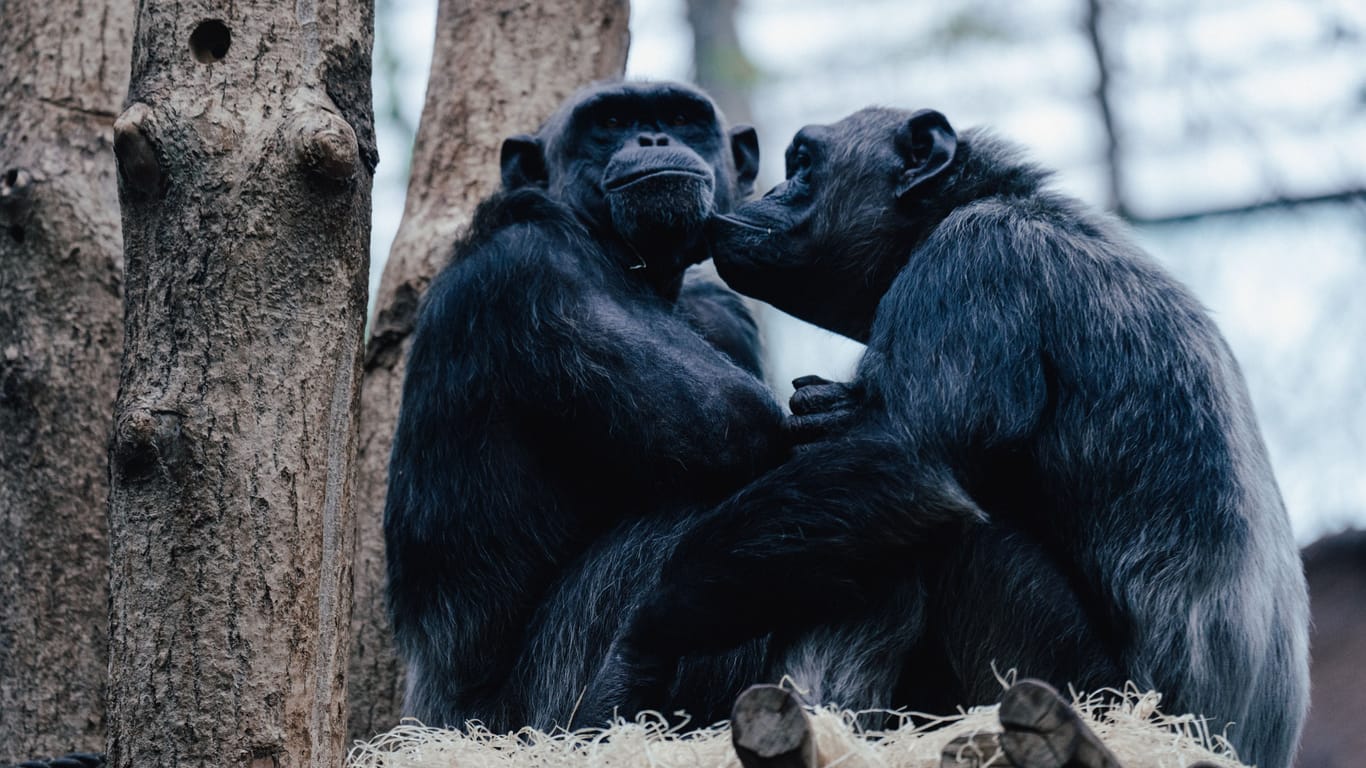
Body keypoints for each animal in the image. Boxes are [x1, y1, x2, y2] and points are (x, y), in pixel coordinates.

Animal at [385, 80, 792, 732]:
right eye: (612, 123)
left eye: (681, 117)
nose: (651, 137)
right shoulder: (539, 273)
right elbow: (745, 421)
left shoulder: (725, 316)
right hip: (537, 714)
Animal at [590, 107, 1311, 765]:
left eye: (802, 162)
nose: (768, 191)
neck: (969, 204)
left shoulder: (973, 264)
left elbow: (906, 461)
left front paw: (638, 648)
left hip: (1081, 691)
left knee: (931, 538)